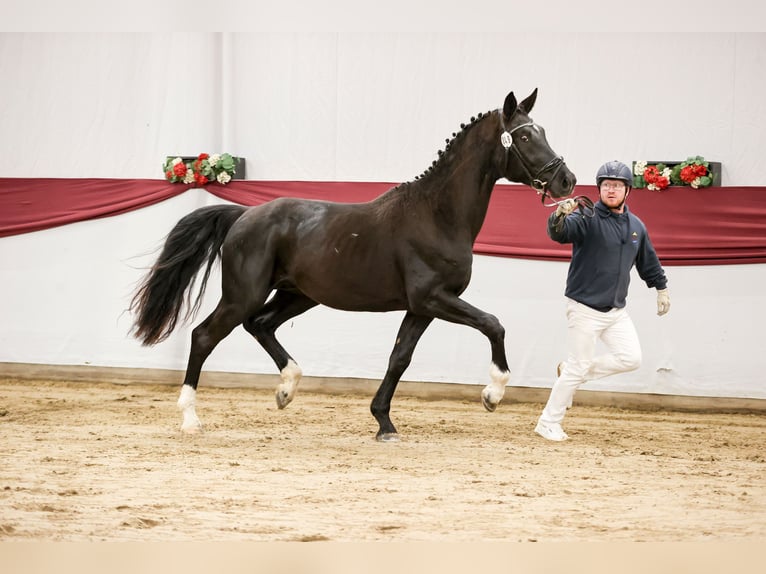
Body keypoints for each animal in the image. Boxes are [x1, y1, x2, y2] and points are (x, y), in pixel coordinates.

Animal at [130, 88, 576, 441]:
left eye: (543, 132)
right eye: (524, 135)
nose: (566, 181)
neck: (437, 215)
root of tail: (243, 216)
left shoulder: (420, 307)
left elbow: (400, 358)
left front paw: (384, 424)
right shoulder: (433, 298)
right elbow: (493, 324)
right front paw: (492, 395)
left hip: (297, 295)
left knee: (260, 324)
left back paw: (286, 389)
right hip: (244, 294)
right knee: (205, 335)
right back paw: (191, 419)